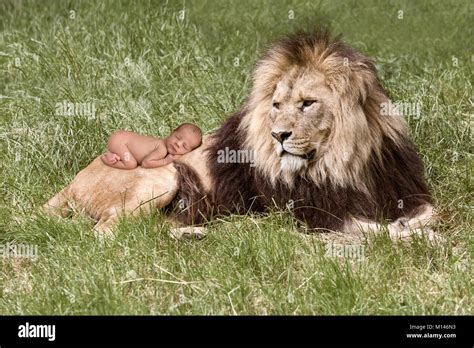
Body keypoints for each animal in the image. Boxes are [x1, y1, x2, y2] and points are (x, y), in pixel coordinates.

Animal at [42, 30, 436, 239]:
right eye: (276, 104)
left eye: (308, 103)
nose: (279, 136)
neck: (344, 162)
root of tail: (70, 183)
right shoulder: (314, 216)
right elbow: (373, 230)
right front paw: (419, 238)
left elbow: (429, 214)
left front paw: (417, 226)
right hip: (162, 175)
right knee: (108, 232)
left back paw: (200, 233)